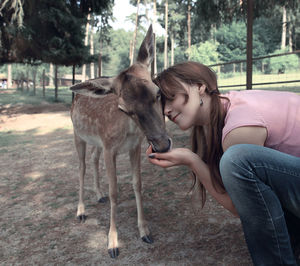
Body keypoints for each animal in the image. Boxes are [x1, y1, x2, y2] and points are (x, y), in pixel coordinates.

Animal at [69, 25, 170, 258]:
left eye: (158, 92)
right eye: (123, 108)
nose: (162, 145)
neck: (129, 131)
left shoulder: (134, 146)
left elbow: (137, 184)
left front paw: (145, 232)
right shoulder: (110, 148)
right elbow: (115, 192)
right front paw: (113, 243)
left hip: (97, 142)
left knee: (93, 159)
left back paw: (99, 195)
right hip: (78, 134)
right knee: (81, 167)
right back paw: (81, 211)